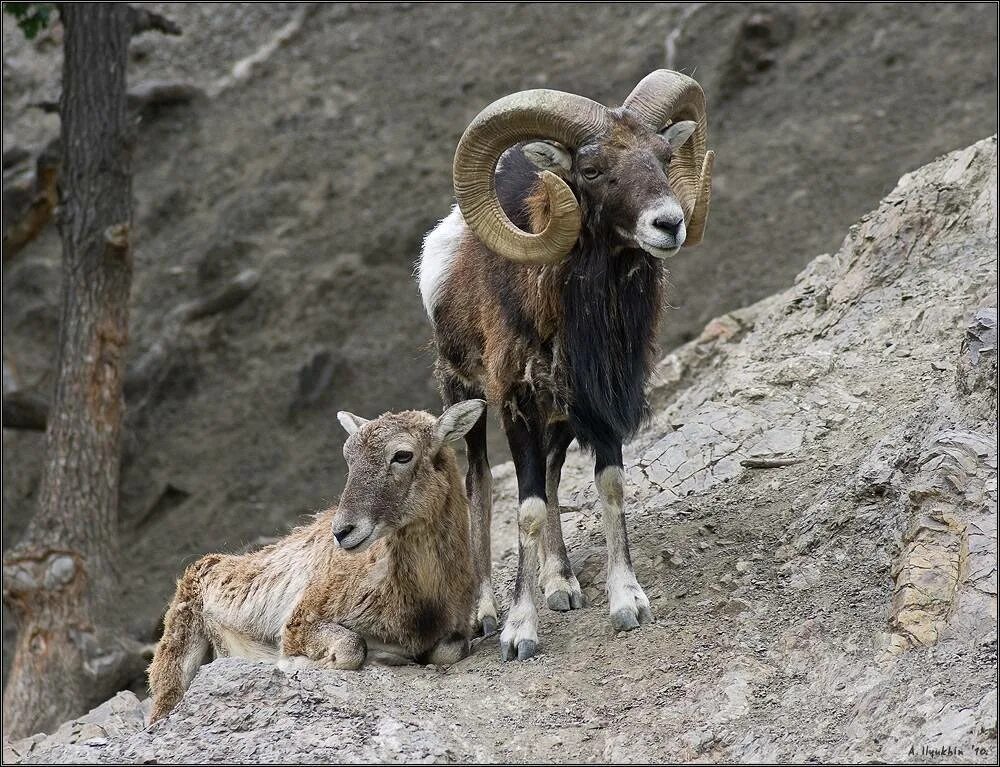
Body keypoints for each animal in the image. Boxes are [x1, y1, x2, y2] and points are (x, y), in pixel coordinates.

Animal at [149, 402, 488, 728]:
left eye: (403, 455)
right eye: (349, 457)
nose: (342, 531)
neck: (418, 601)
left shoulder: (454, 632)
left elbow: (450, 649)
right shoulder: (302, 620)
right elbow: (352, 647)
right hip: (178, 653)